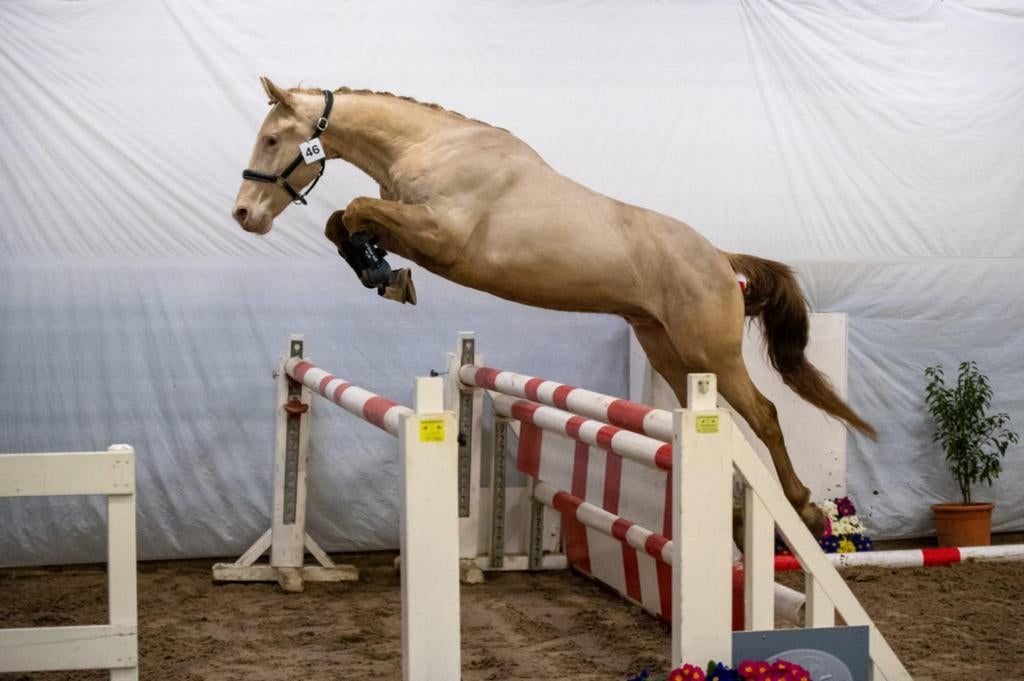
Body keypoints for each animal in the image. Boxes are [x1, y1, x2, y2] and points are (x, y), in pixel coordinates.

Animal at [232, 77, 877, 536]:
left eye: (272, 140)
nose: (244, 215)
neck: (433, 146)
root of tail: (720, 257)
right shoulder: (418, 232)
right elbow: (345, 220)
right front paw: (381, 272)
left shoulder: (442, 235)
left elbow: (357, 209)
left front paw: (382, 273)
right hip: (666, 349)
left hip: (708, 349)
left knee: (764, 414)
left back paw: (806, 512)